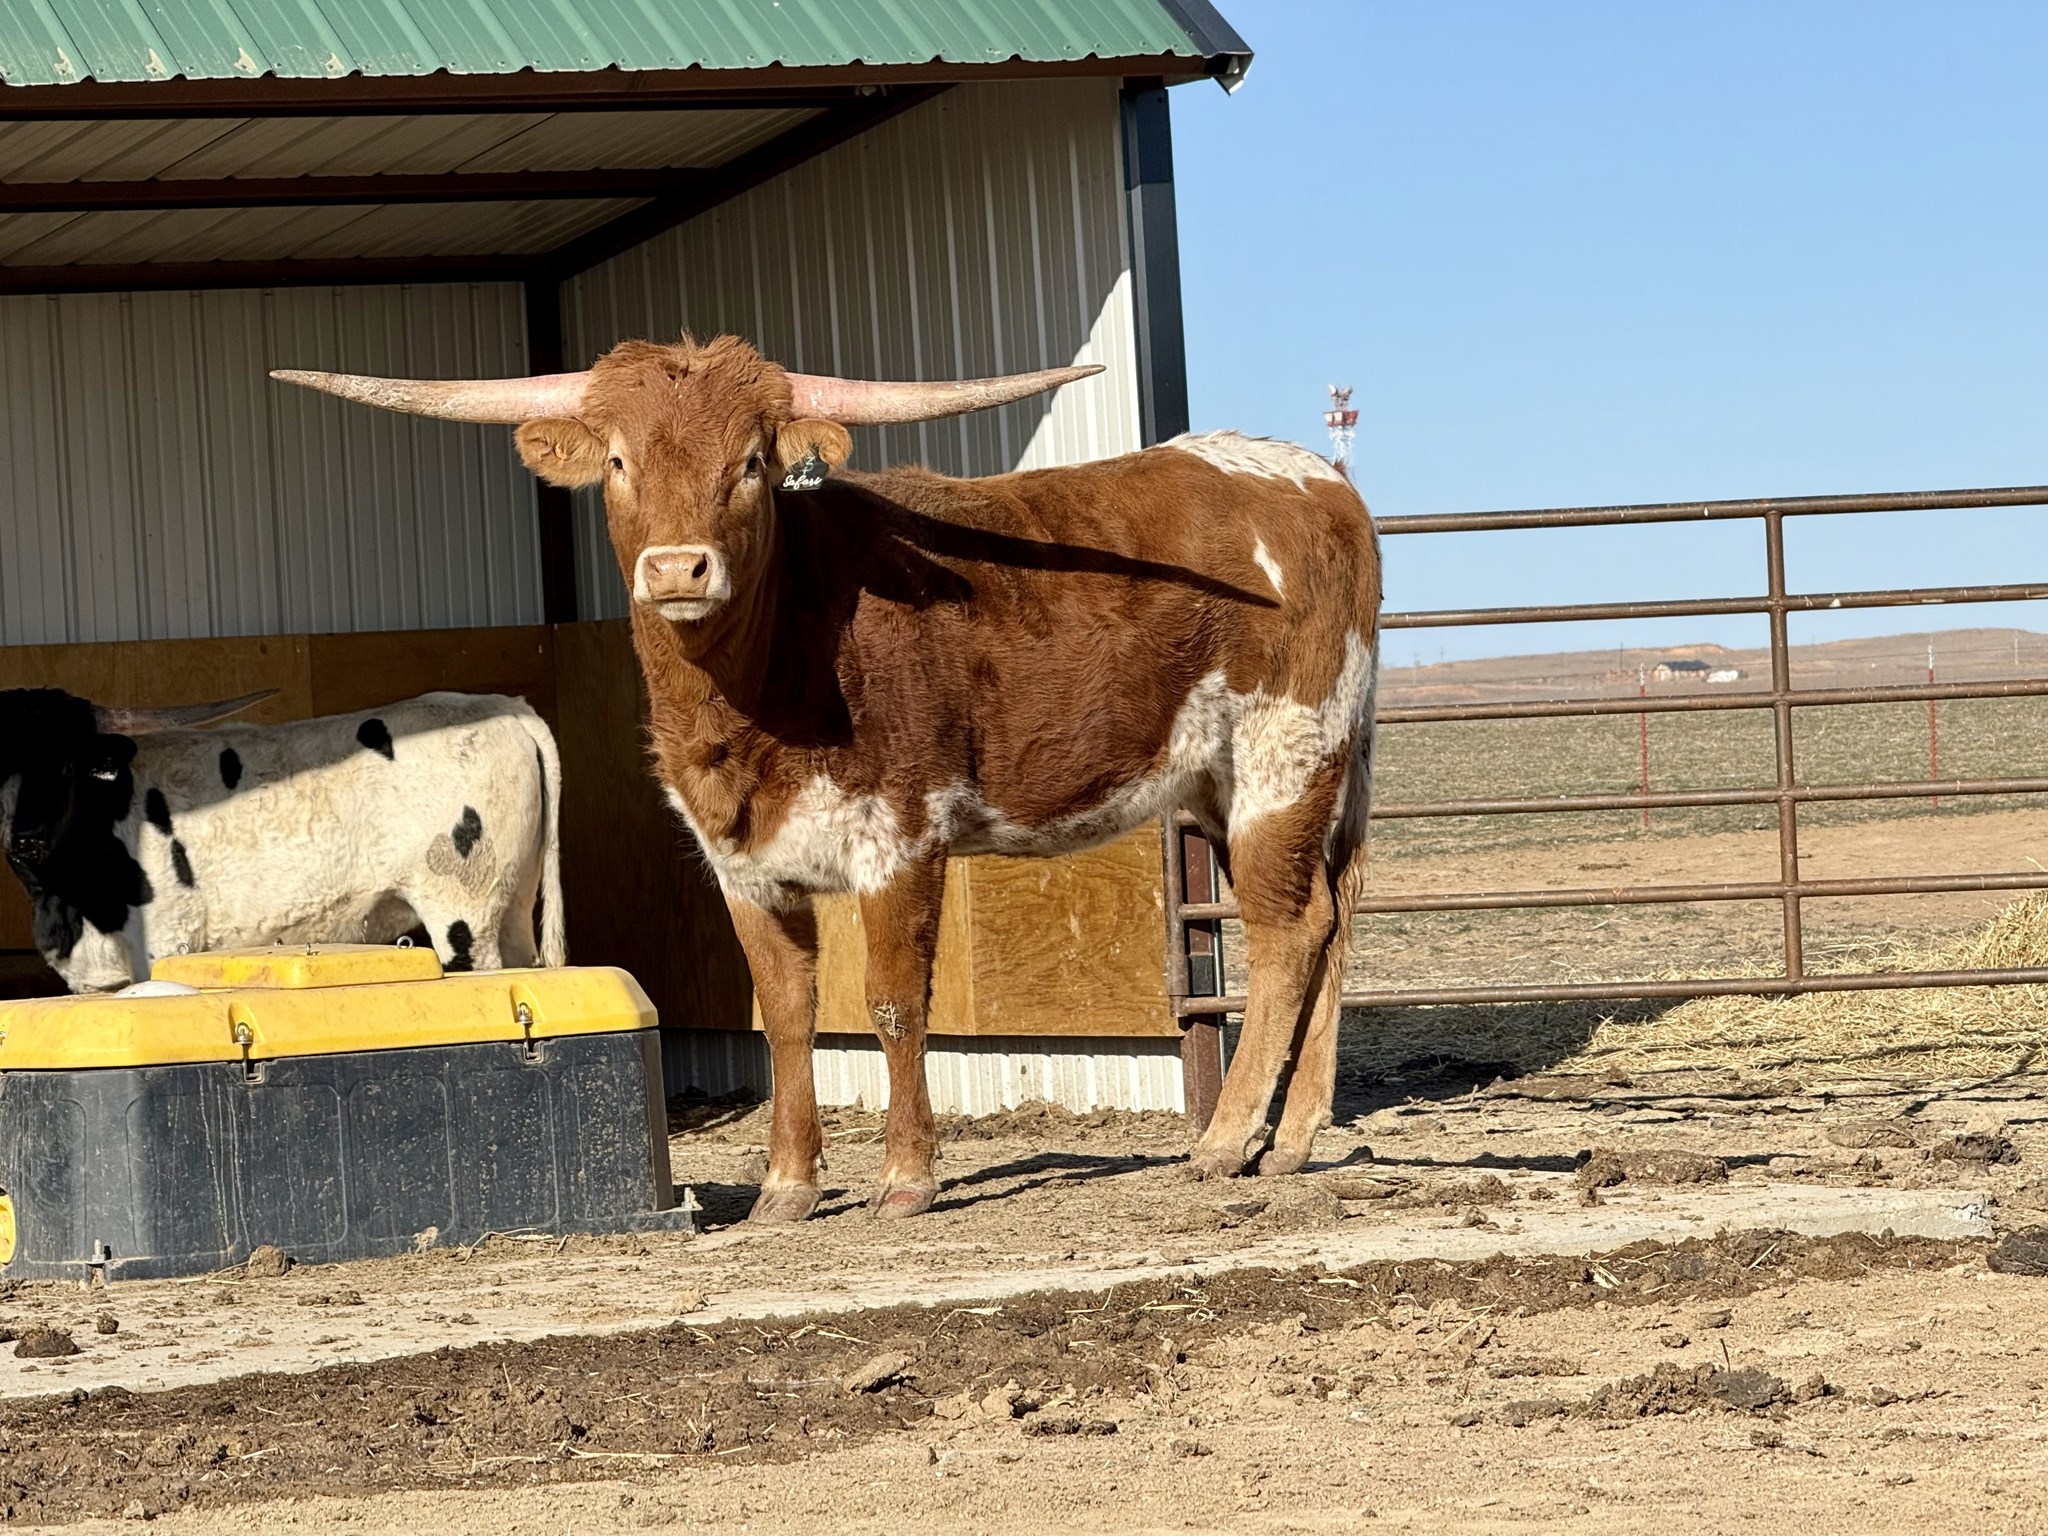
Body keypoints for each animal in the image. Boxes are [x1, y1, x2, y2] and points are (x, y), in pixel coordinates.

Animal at [0, 689, 564, 992]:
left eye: (68, 765)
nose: (23, 839)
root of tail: (501, 705)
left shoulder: (165, 941)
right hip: (512, 904)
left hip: (463, 913)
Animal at [273, 337, 1380, 1221]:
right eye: (621, 461)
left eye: (750, 465)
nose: (677, 571)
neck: (772, 669)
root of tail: (1317, 482)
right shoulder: (743, 862)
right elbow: (787, 1013)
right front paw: (786, 1188)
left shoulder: (902, 836)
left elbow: (891, 1001)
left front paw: (906, 1178)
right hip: (1240, 781)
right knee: (1328, 917)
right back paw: (1289, 1143)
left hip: (1286, 754)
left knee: (1285, 933)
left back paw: (1225, 1141)